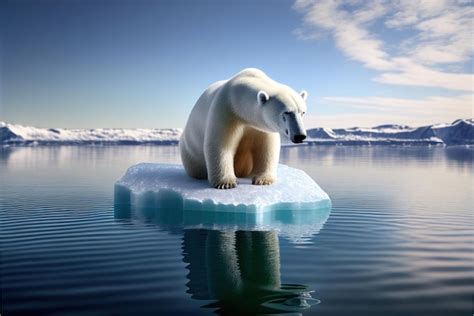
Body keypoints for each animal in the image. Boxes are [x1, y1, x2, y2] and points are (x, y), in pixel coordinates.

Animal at [179, 68, 308, 189]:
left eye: (302, 112)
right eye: (287, 112)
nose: (300, 136)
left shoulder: (262, 127)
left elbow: (267, 147)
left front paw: (263, 180)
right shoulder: (226, 110)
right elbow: (220, 144)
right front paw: (226, 183)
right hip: (190, 152)